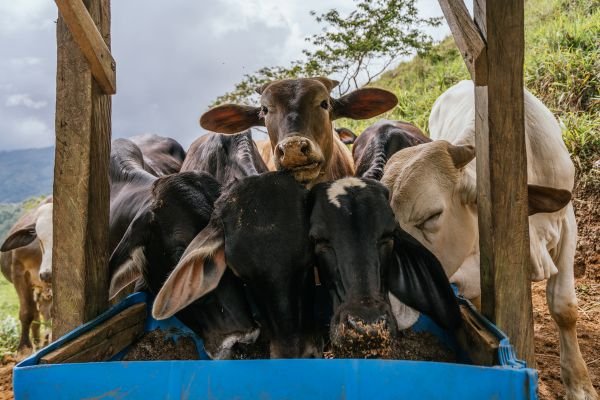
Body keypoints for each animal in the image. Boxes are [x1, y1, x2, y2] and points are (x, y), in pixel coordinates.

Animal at [0, 198, 52, 358]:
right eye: (39, 238)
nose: (47, 274)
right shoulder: (19, 273)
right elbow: (26, 312)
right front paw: (24, 350)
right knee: (35, 315)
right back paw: (37, 344)